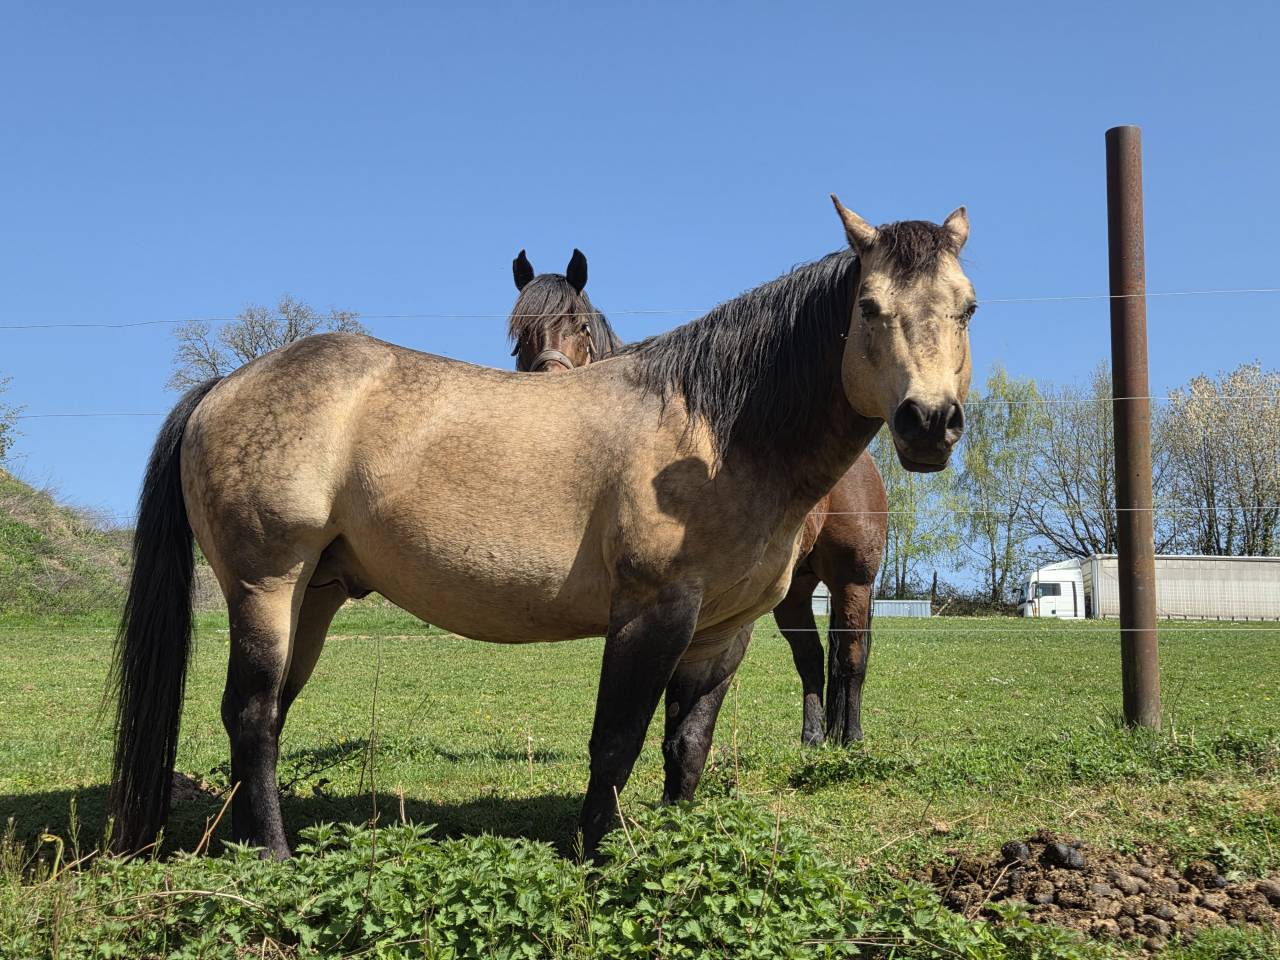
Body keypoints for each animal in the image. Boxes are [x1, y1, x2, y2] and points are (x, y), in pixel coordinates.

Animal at [505, 250, 888, 746]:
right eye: (519, 336)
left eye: (582, 328)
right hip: (794, 590)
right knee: (810, 657)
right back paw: (812, 736)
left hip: (852, 579)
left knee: (851, 658)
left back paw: (852, 736)